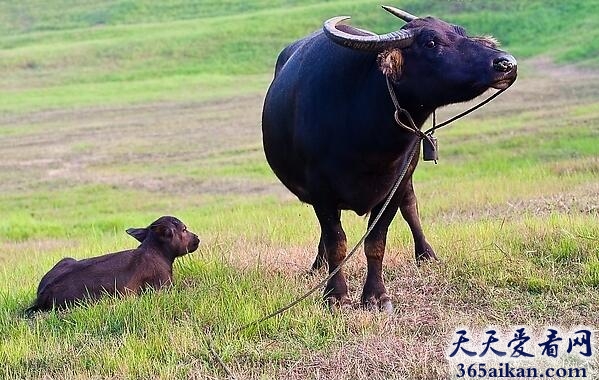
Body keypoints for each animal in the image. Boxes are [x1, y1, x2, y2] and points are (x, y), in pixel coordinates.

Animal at [264, 5, 516, 312]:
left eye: (461, 32)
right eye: (431, 42)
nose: (506, 64)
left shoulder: (394, 186)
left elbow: (376, 242)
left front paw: (375, 296)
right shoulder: (321, 191)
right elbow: (337, 241)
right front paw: (335, 295)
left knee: (411, 207)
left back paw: (426, 255)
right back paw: (318, 266)